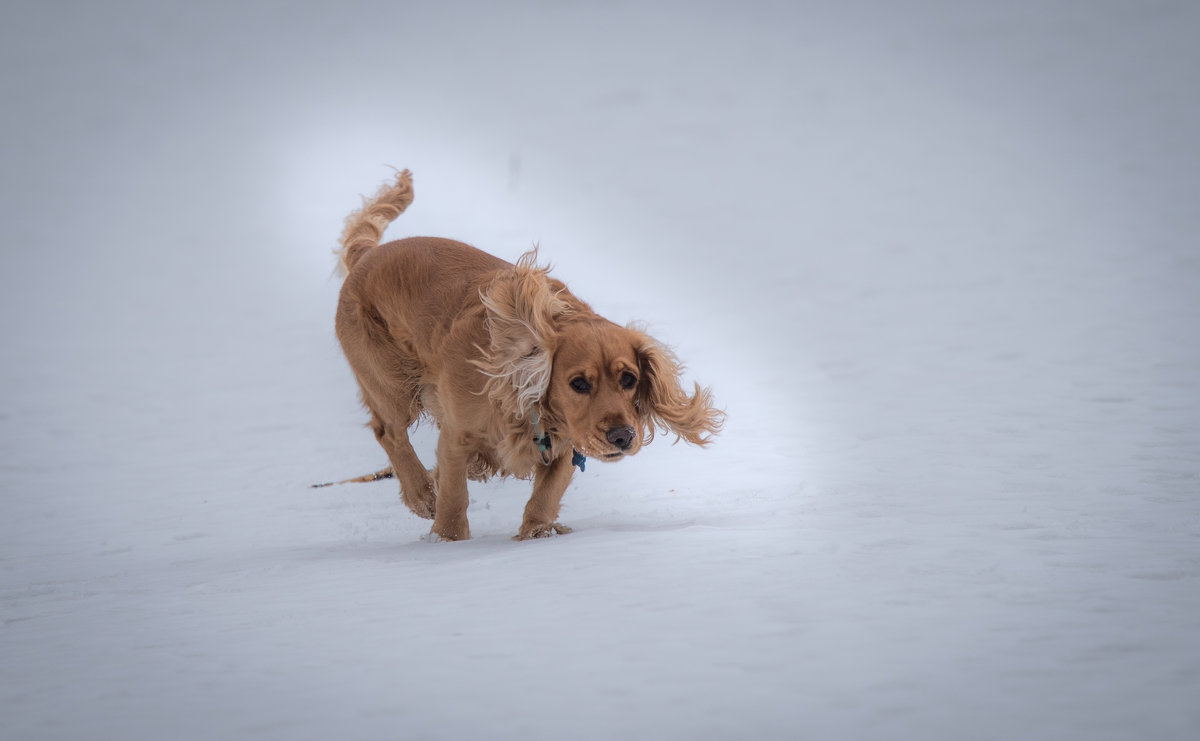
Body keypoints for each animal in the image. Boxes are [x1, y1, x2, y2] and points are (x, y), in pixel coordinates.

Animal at [333, 169, 720, 537]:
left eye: (629, 379)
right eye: (578, 383)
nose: (623, 436)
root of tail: (367, 254)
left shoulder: (566, 444)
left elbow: (545, 496)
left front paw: (537, 532)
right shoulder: (458, 435)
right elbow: (454, 498)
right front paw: (446, 538)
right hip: (391, 383)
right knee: (389, 433)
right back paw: (422, 495)